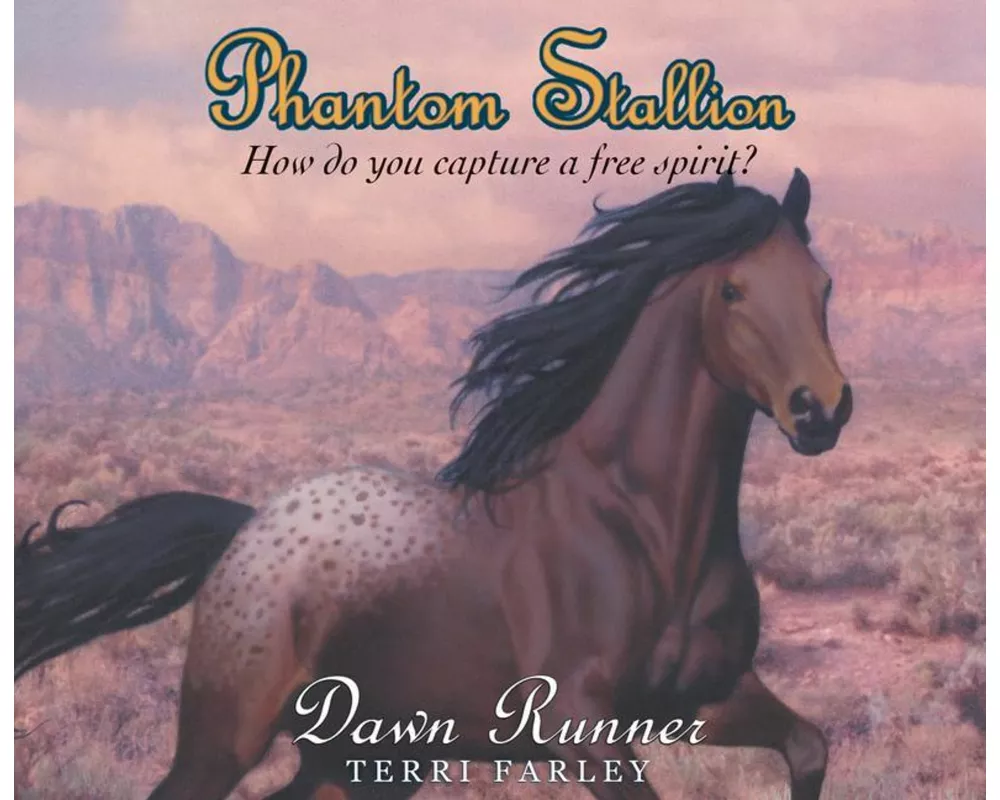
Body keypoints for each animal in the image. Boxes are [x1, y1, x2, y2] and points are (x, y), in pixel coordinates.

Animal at [15, 168, 853, 800]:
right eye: (734, 291)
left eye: (822, 284)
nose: (821, 409)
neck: (640, 524)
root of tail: (246, 530)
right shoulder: (581, 725)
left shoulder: (703, 700)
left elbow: (810, 745)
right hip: (228, 737)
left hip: (364, 756)